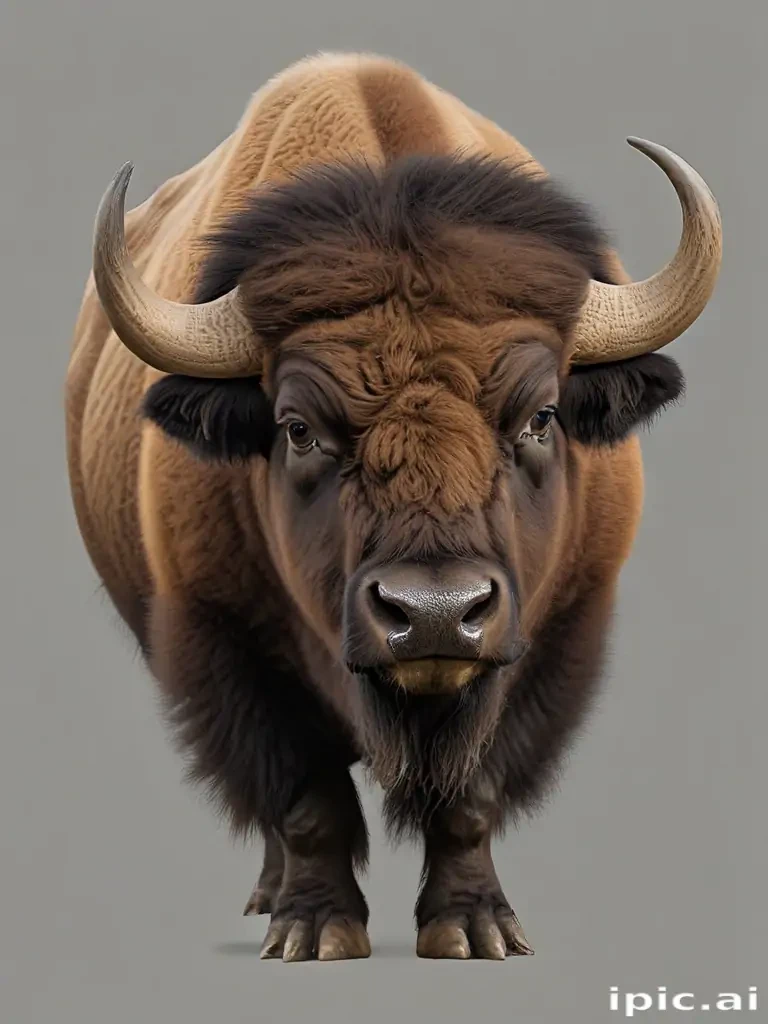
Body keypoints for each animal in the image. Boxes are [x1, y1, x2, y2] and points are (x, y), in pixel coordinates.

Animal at [65, 52, 722, 961]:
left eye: (542, 416)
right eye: (296, 428)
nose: (436, 613)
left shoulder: (554, 638)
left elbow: (473, 796)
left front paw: (475, 930)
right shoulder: (226, 643)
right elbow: (305, 798)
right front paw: (315, 932)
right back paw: (269, 900)